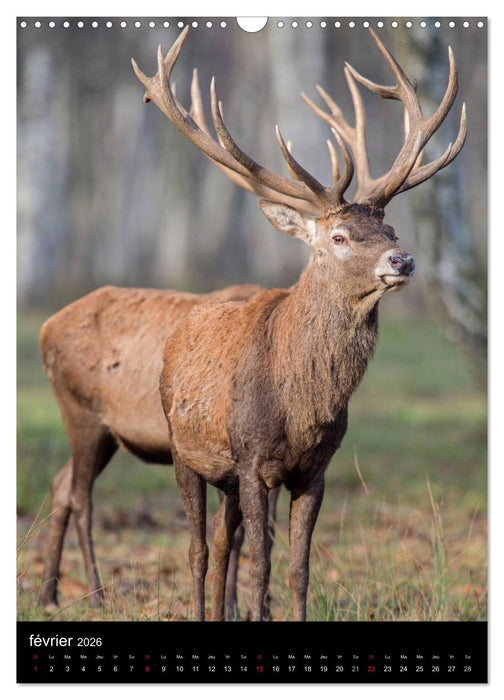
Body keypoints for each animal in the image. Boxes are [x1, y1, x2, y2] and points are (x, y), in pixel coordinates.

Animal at [131, 26, 466, 621]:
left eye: (392, 230)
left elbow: (298, 568)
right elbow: (262, 563)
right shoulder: (252, 459)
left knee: (223, 543)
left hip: (223, 475)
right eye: (338, 236)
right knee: (198, 548)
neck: (302, 407)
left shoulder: (316, 469)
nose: (402, 261)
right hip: (183, 449)